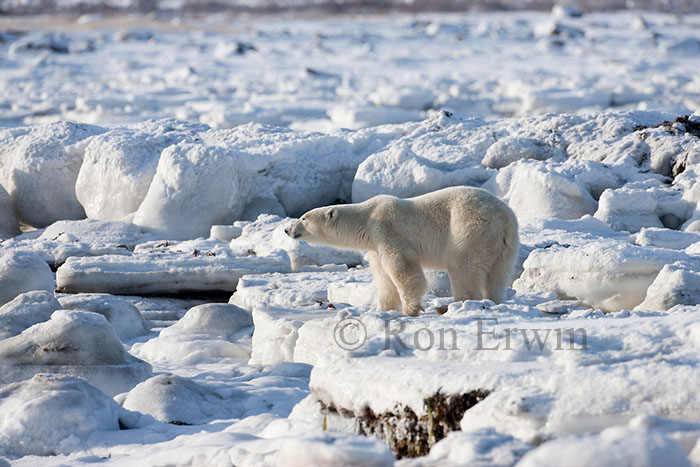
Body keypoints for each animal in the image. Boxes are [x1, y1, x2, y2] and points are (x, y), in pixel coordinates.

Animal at [285, 186, 519, 316]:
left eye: (303, 218)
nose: (287, 229)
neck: (367, 219)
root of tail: (504, 219)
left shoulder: (387, 231)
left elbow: (403, 270)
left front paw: (411, 310)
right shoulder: (375, 245)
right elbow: (384, 278)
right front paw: (384, 309)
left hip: (468, 231)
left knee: (463, 267)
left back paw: (453, 305)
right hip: (505, 246)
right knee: (497, 276)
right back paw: (493, 300)